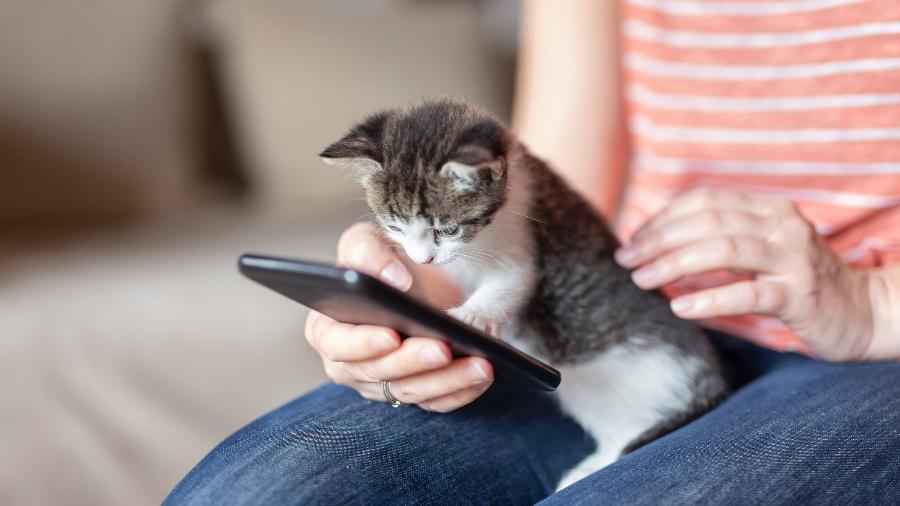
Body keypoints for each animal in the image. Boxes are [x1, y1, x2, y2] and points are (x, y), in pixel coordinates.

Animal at [320, 99, 728, 490]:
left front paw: (468, 319)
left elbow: (510, 283)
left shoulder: (522, 244)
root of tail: (712, 380)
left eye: (447, 229)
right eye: (394, 227)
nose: (424, 258)